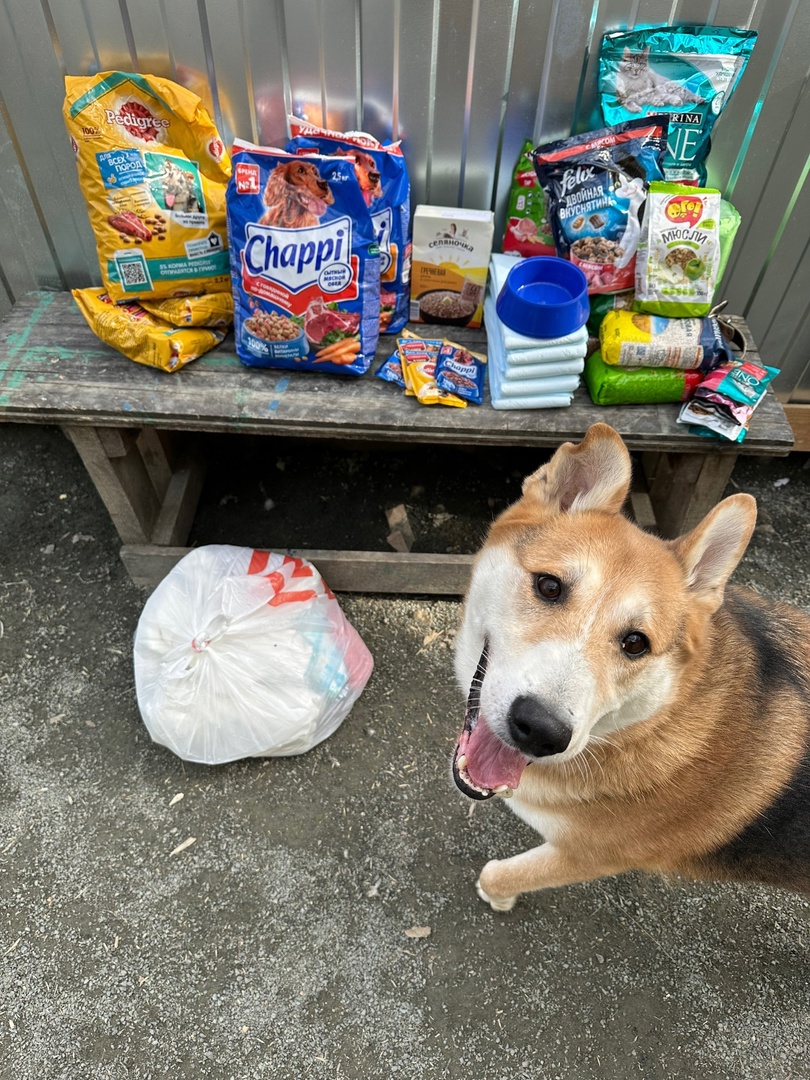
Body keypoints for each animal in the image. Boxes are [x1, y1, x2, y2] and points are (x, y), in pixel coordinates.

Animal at [453, 423, 810, 911]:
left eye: (635, 643)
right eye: (549, 586)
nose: (541, 730)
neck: (650, 726)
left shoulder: (588, 856)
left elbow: (504, 873)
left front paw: (496, 894)